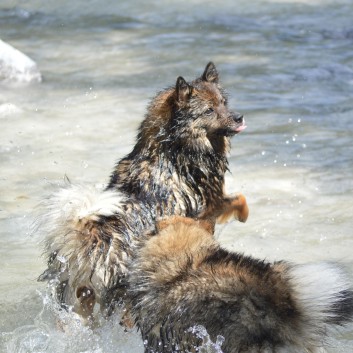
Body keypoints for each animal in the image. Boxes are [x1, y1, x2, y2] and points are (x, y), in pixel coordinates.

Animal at [37, 62, 248, 322]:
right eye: (209, 110)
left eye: (224, 102)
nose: (239, 116)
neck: (171, 144)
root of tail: (90, 238)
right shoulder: (210, 202)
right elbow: (240, 200)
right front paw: (243, 216)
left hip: (76, 295)